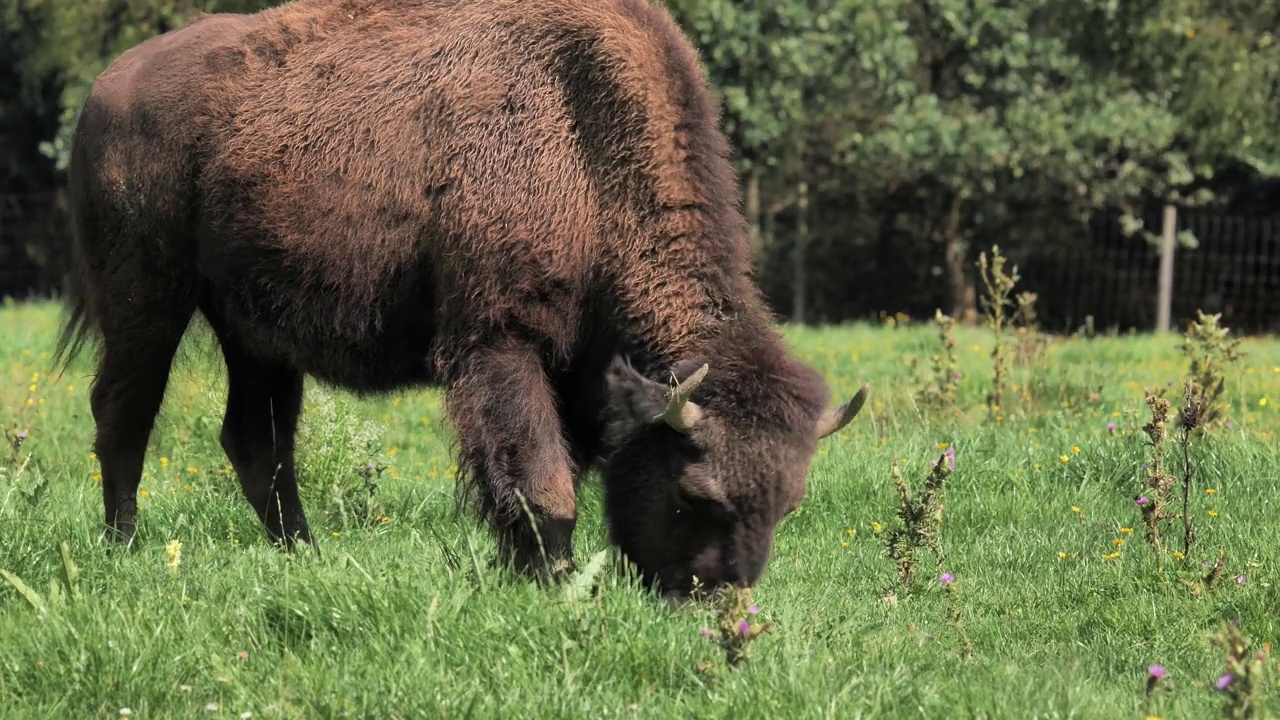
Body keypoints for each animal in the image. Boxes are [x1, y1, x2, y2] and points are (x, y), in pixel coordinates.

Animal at [49, 0, 870, 597]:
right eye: (697, 494)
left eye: (788, 503)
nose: (720, 601)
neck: (585, 140)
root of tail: (104, 89)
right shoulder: (501, 342)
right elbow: (543, 483)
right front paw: (551, 584)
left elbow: (552, 474)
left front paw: (529, 572)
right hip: (146, 301)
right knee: (122, 414)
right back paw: (123, 549)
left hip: (256, 334)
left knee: (257, 441)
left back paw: (304, 556)